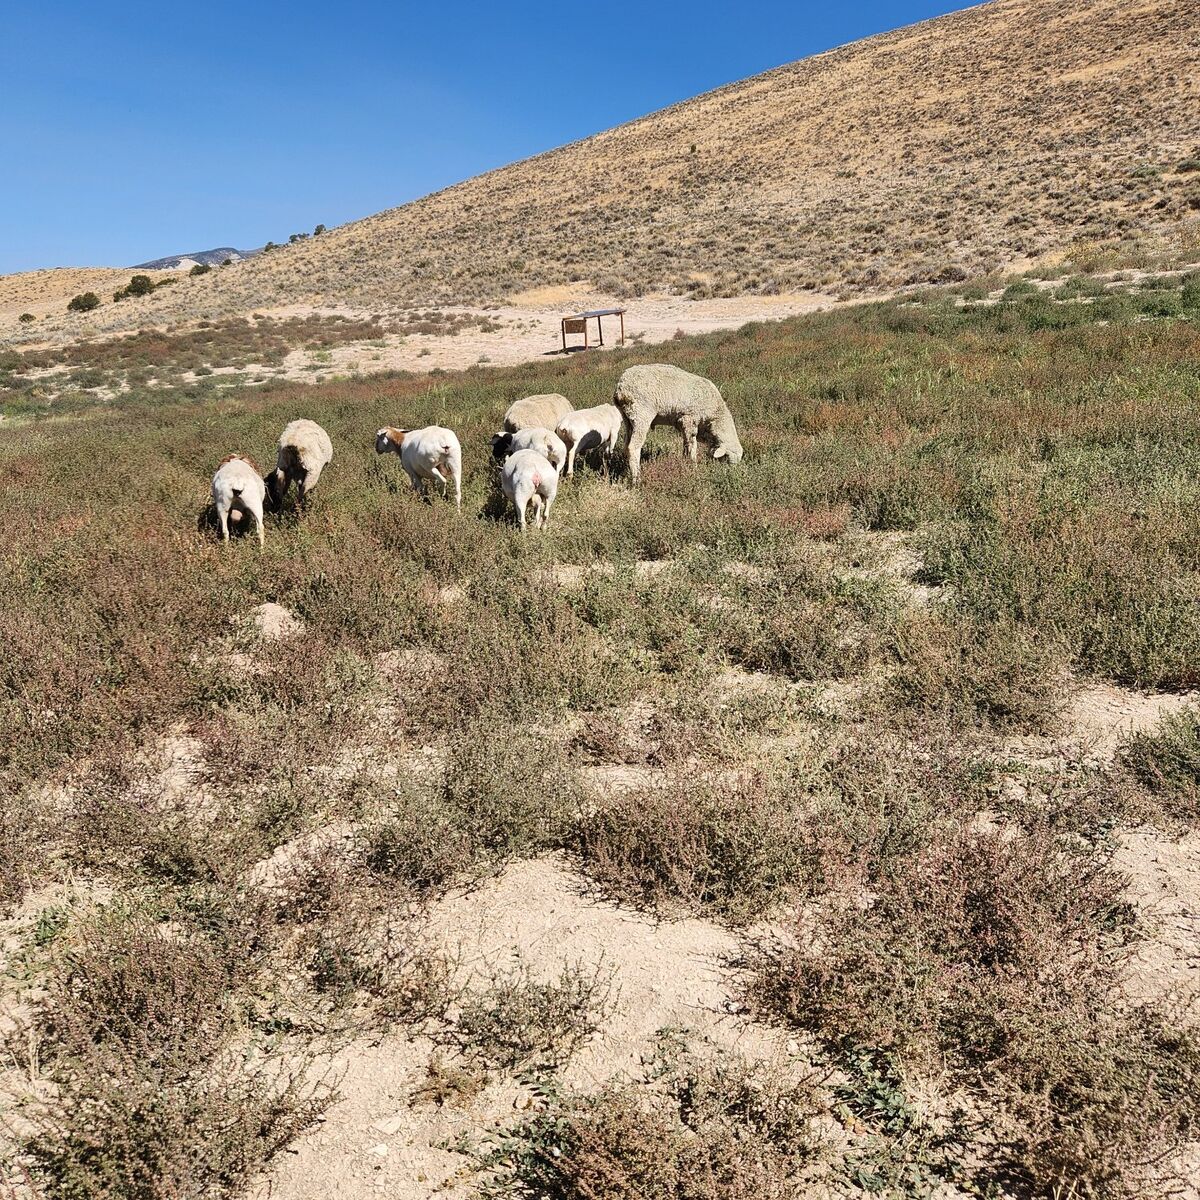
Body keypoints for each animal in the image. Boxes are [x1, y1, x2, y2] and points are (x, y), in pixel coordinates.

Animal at [613, 364, 744, 482]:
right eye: (727, 458)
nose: (730, 475)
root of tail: (621, 386)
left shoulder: (683, 423)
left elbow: (686, 445)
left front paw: (684, 462)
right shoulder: (689, 419)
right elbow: (692, 446)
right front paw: (693, 468)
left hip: (628, 418)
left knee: (626, 446)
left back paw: (627, 472)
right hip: (641, 413)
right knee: (633, 447)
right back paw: (637, 479)